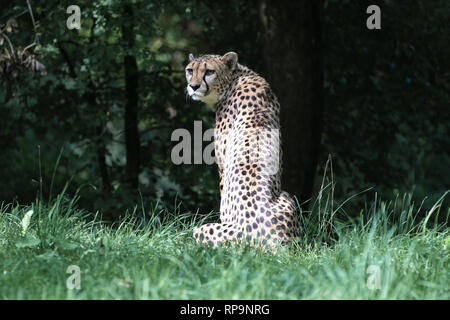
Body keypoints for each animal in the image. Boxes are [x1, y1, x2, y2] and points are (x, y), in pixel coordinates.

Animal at [185, 52, 300, 248]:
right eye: (190, 70)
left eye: (209, 71)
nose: (193, 86)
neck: (236, 77)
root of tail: (274, 240)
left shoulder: (223, 164)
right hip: (287, 197)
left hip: (202, 230)